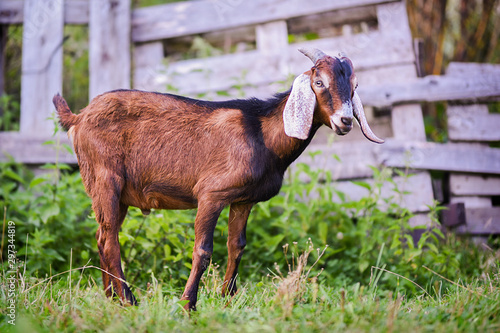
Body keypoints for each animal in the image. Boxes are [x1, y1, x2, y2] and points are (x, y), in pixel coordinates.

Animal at [52, 48, 382, 310]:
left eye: (354, 85)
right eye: (319, 82)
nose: (345, 121)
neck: (262, 134)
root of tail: (78, 117)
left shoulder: (243, 199)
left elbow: (237, 245)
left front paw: (227, 298)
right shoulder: (211, 194)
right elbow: (203, 250)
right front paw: (188, 304)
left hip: (116, 193)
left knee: (101, 236)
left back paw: (111, 298)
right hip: (105, 178)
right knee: (110, 240)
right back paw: (129, 299)